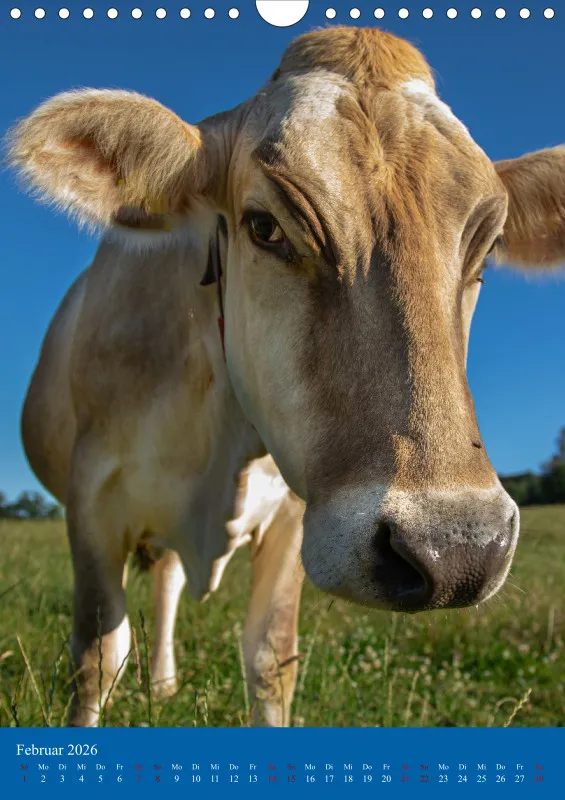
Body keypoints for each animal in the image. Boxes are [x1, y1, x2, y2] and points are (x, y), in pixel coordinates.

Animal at [7, 25, 565, 727]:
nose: (458, 549)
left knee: (167, 582)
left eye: (487, 248)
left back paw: (164, 683)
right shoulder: (90, 504)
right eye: (265, 226)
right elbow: (97, 658)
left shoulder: (296, 515)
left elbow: (271, 657)